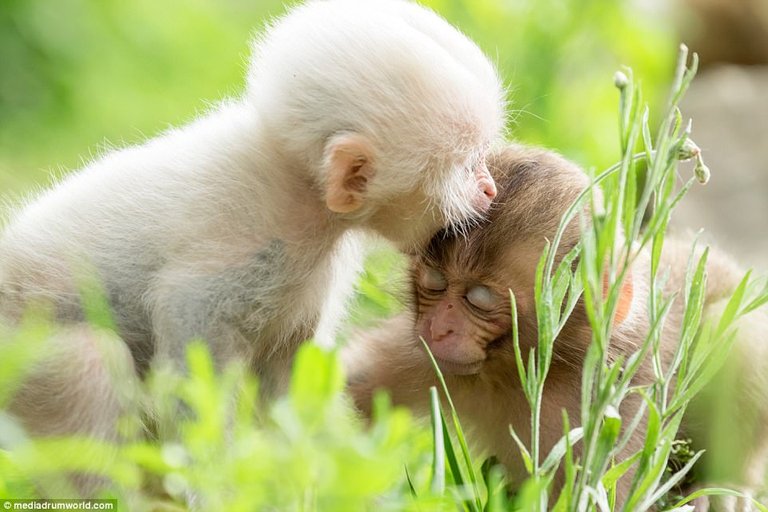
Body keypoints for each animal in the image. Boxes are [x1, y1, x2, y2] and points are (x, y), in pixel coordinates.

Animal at [348, 144, 768, 508]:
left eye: (479, 299)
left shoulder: (610, 401)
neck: (517, 371)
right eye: (435, 281)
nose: (439, 329)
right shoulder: (423, 356)